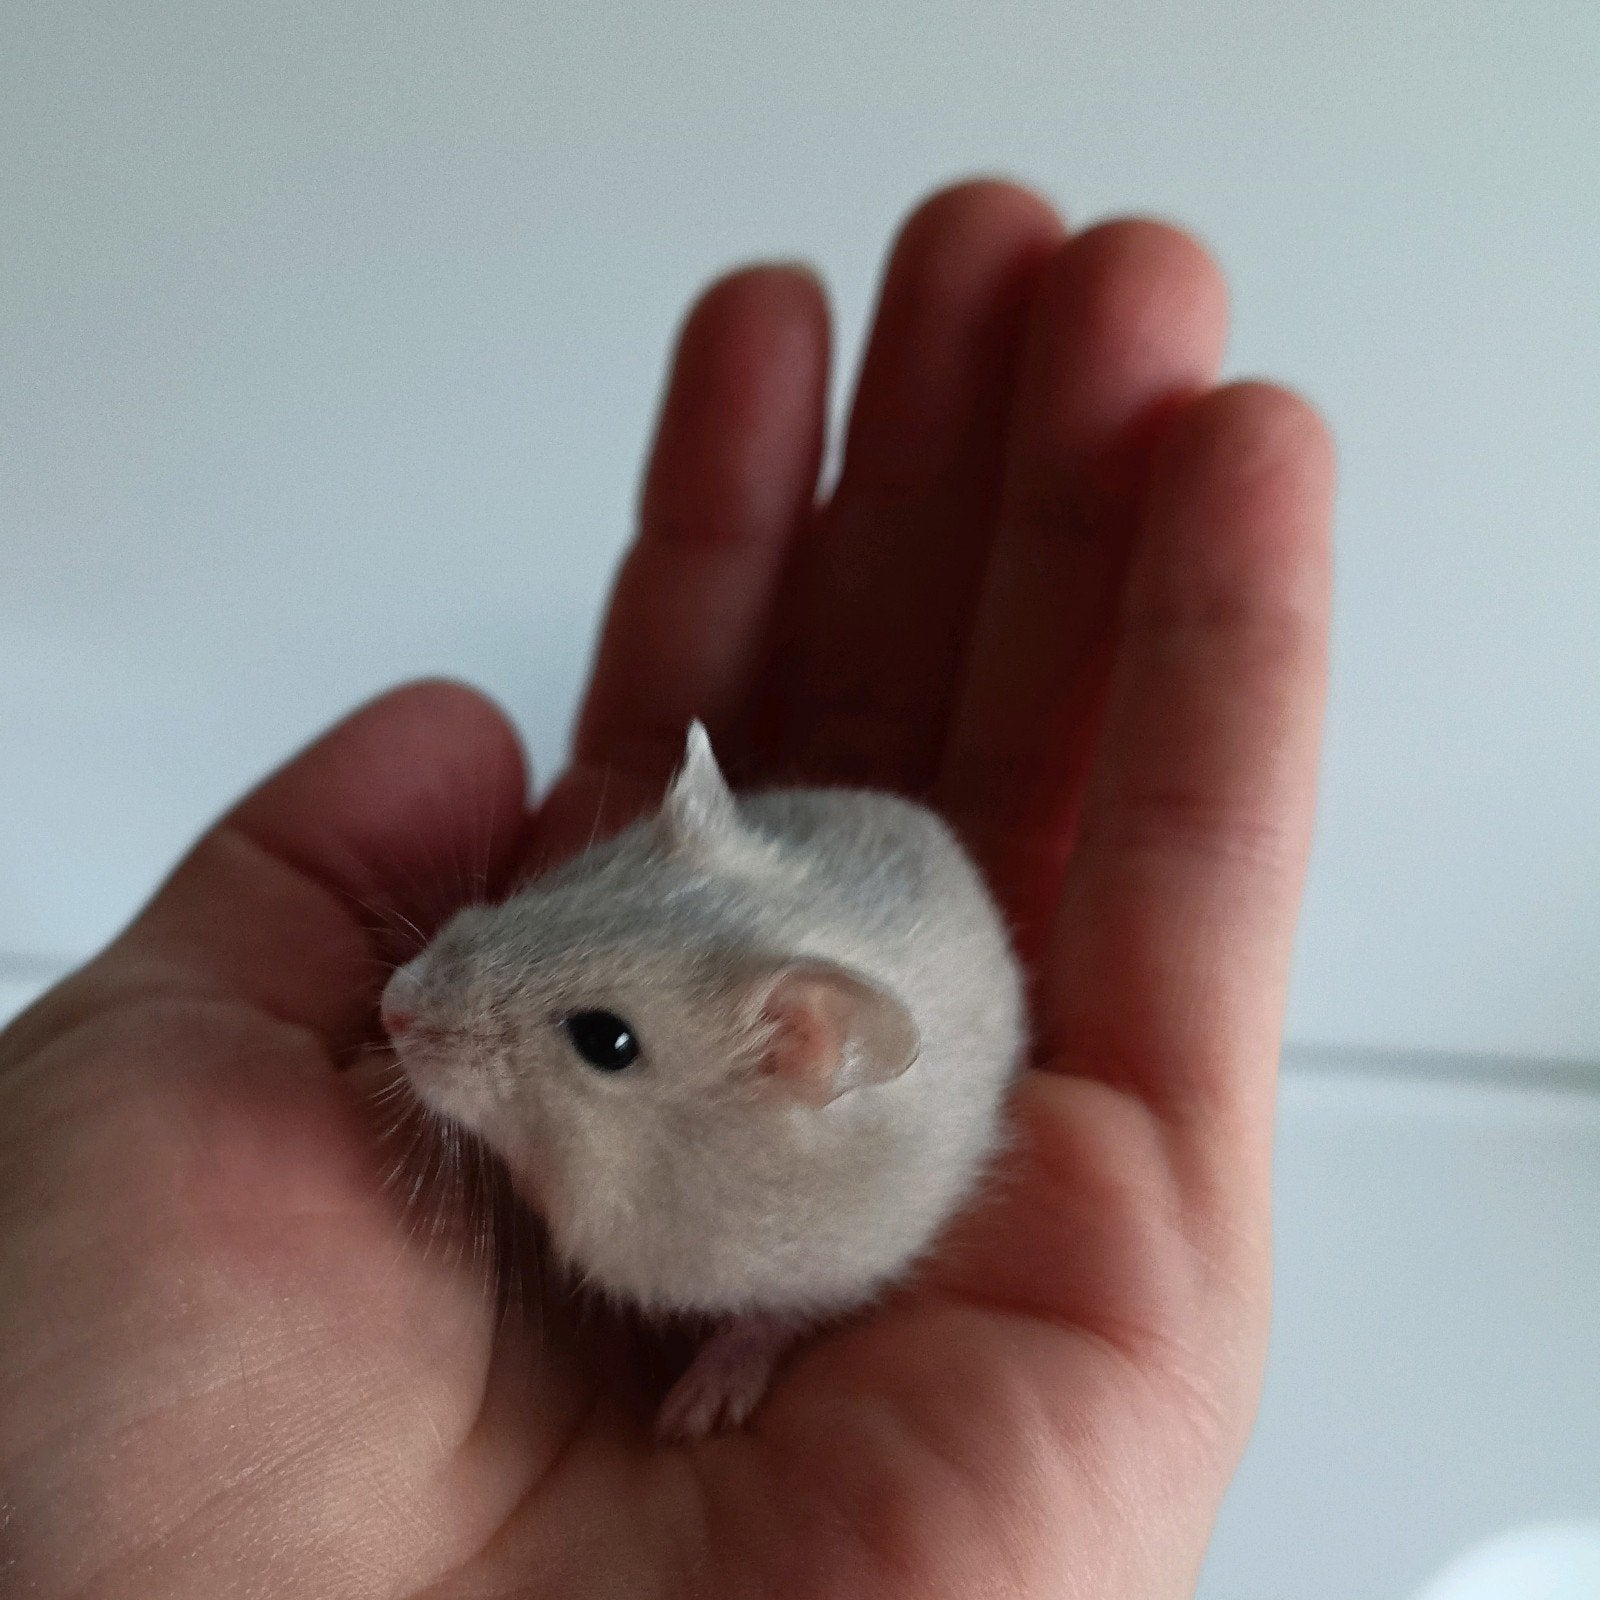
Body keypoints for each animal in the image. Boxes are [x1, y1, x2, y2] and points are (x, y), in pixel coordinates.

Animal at [380, 723, 1025, 1440]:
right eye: (554, 887)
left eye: (606, 1041)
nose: (390, 1006)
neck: (677, 1151)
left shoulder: (826, 1269)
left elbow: (769, 1321)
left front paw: (693, 1413)